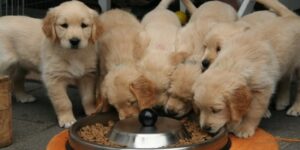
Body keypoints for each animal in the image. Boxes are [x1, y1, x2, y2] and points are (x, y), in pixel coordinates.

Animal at [192, 0, 300, 138]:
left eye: (216, 110)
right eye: (200, 108)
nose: (205, 128)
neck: (233, 62)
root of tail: (293, 16)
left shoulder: (262, 89)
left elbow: (252, 112)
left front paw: (244, 128)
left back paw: (295, 108)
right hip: (285, 63)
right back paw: (282, 101)